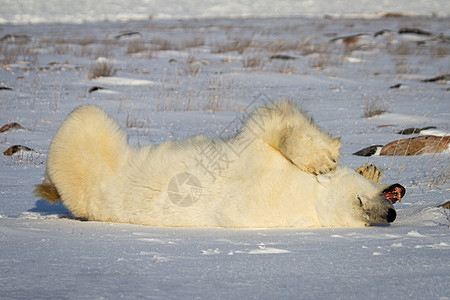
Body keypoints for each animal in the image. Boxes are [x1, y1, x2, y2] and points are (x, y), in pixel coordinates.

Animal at [34, 101, 404, 227]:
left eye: (366, 222)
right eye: (360, 202)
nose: (390, 214)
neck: (305, 200)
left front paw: (370, 168)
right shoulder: (256, 163)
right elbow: (271, 121)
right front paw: (324, 160)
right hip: (86, 156)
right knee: (85, 118)